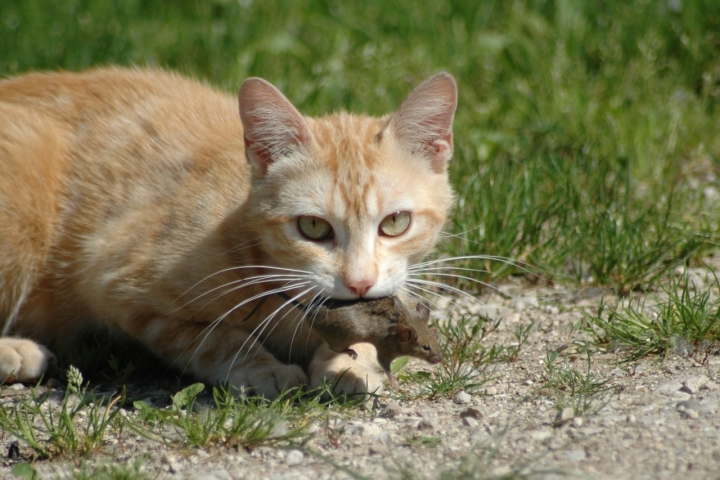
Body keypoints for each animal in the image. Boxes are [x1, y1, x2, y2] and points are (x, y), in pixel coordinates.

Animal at [0, 66, 456, 398]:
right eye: (312, 226)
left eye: (395, 222)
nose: (359, 282)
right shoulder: (115, 281)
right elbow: (216, 338)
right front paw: (262, 369)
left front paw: (353, 361)